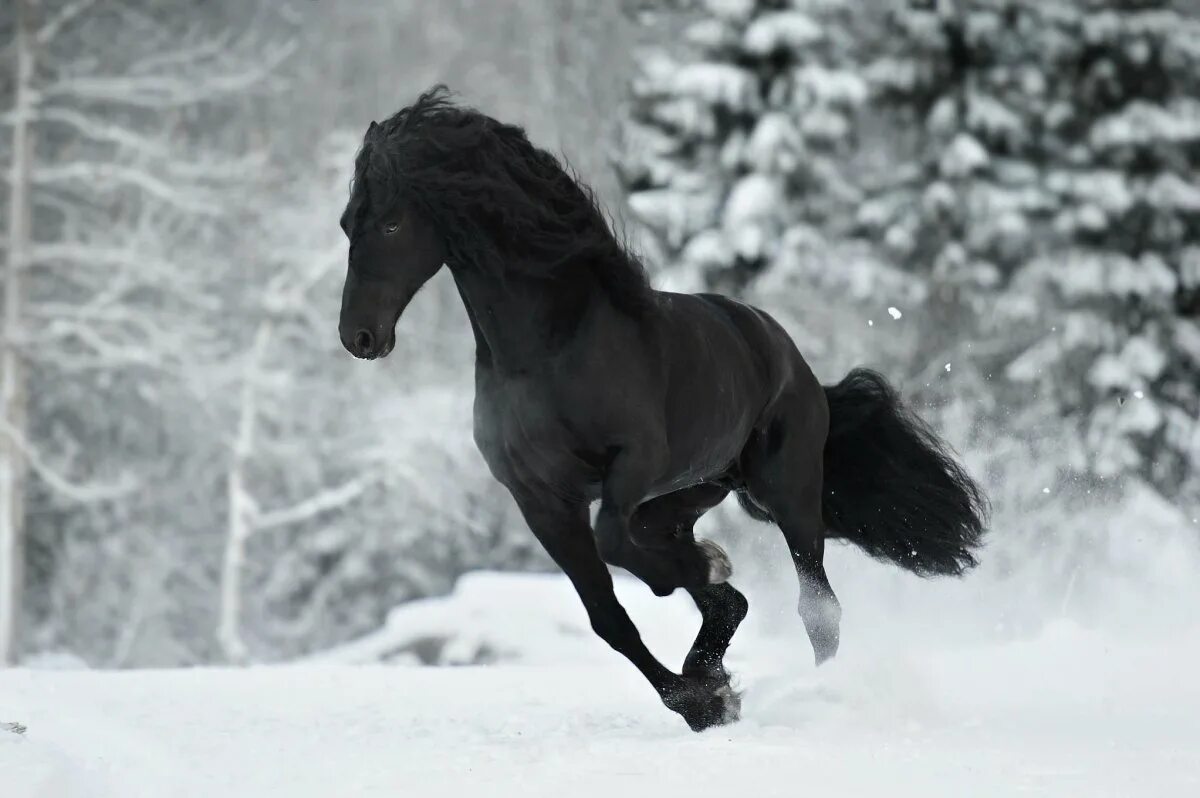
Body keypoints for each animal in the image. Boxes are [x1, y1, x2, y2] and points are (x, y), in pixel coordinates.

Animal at [336, 87, 984, 729]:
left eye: (392, 223)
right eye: (347, 224)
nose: (359, 336)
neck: (548, 351)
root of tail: (796, 366)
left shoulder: (632, 461)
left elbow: (616, 547)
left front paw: (706, 592)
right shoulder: (540, 500)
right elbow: (608, 617)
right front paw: (705, 699)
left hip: (786, 492)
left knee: (817, 607)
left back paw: (824, 689)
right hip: (687, 495)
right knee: (718, 587)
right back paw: (711, 648)